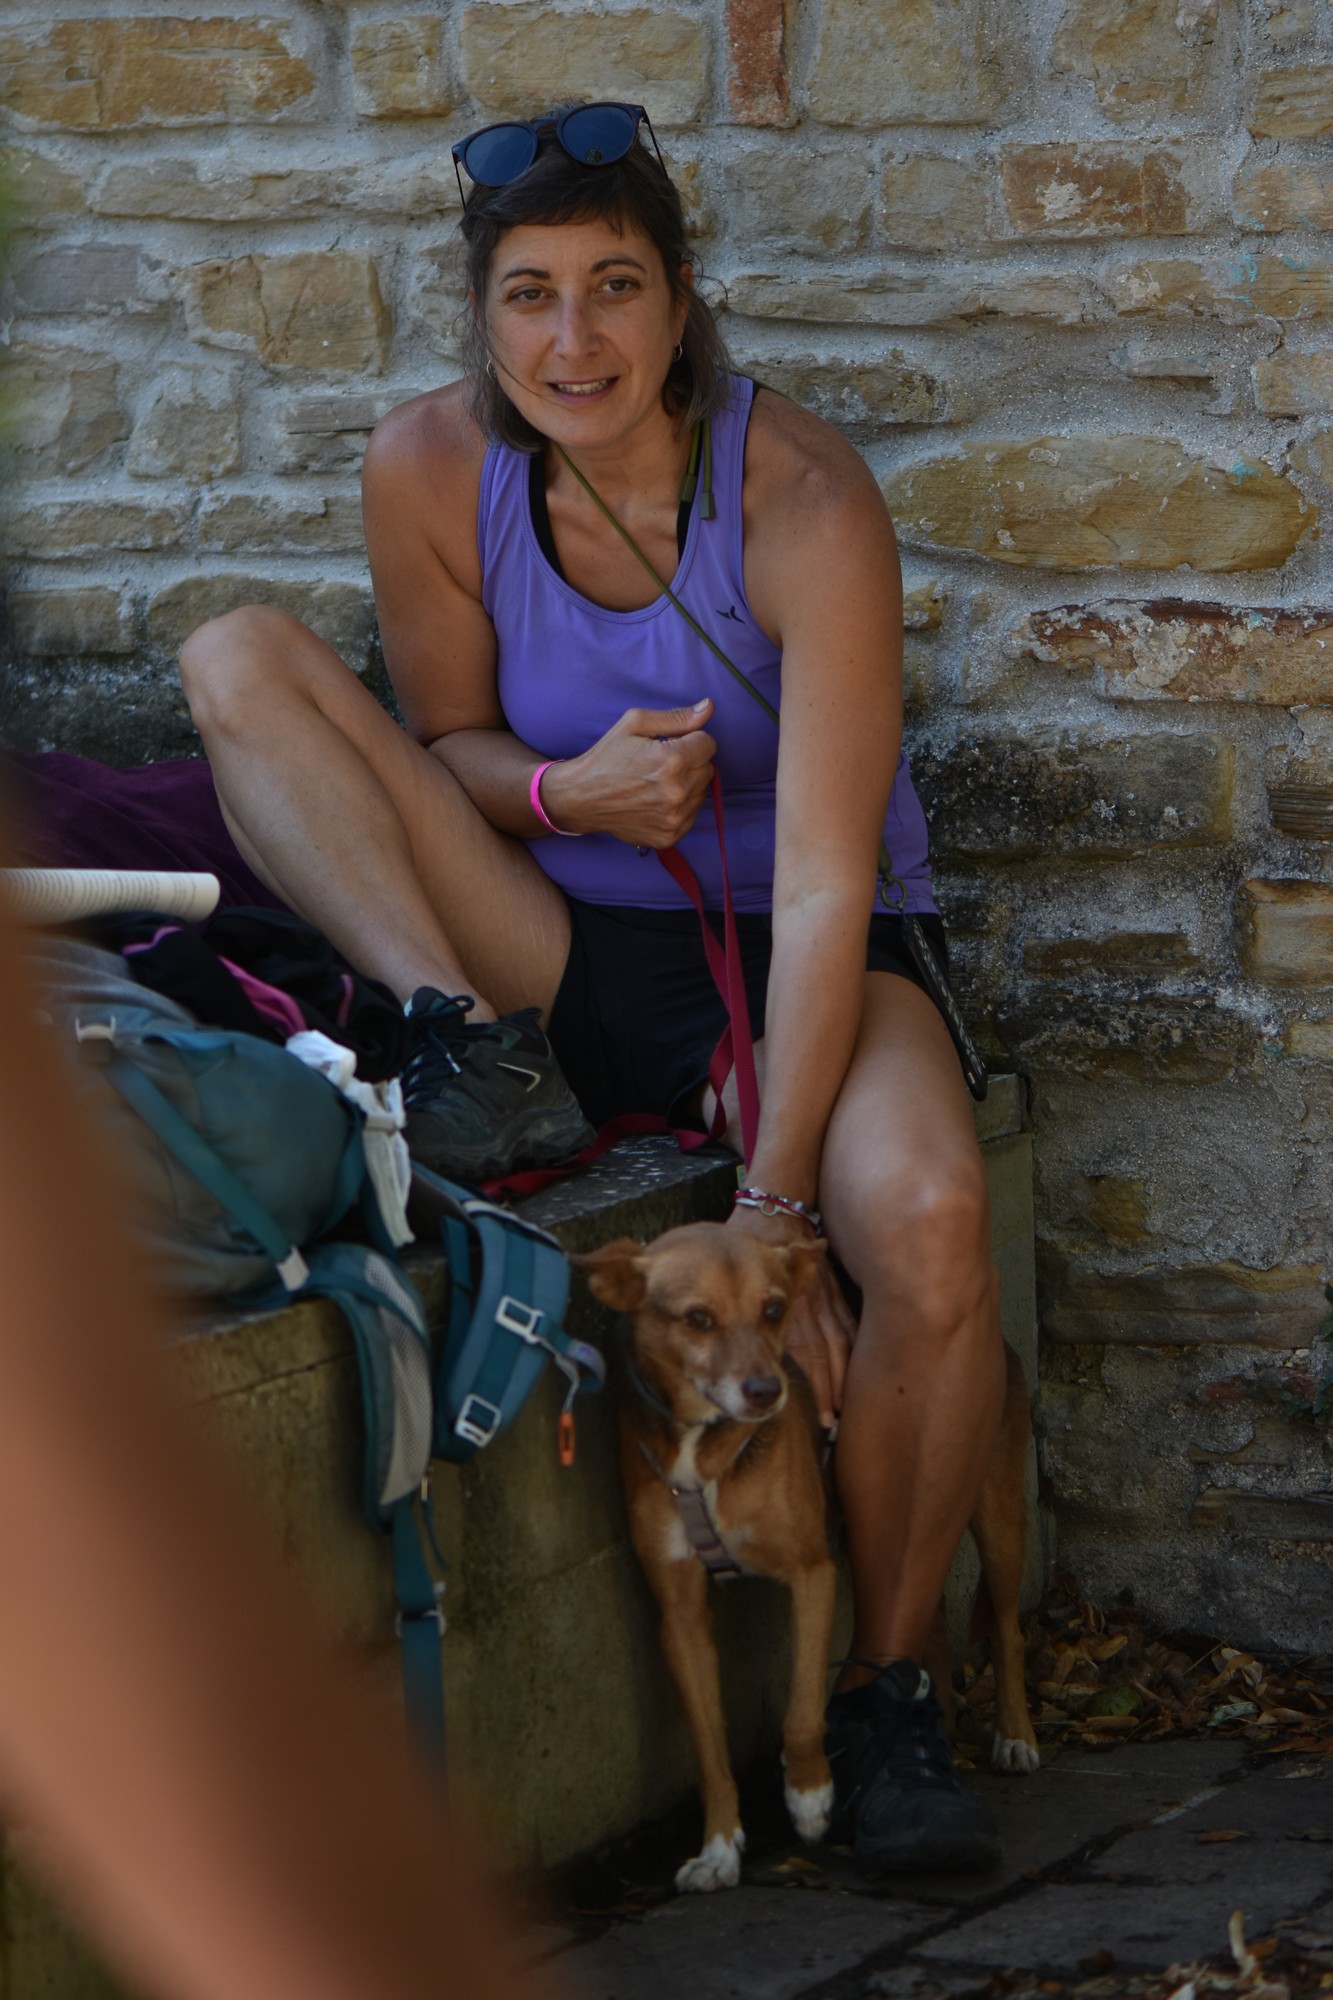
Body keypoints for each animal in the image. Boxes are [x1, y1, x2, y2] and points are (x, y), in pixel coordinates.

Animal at [575, 1221, 1038, 1895]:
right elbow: (709, 1753)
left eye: (773, 1310)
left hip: (997, 1515)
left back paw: (1015, 1736)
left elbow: (799, 1714)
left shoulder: (812, 1576)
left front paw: (810, 1796)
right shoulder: (679, 1617)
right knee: (929, 1621)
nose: (768, 1391)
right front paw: (719, 1850)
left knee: (1006, 1630)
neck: (706, 1449)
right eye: (697, 1319)